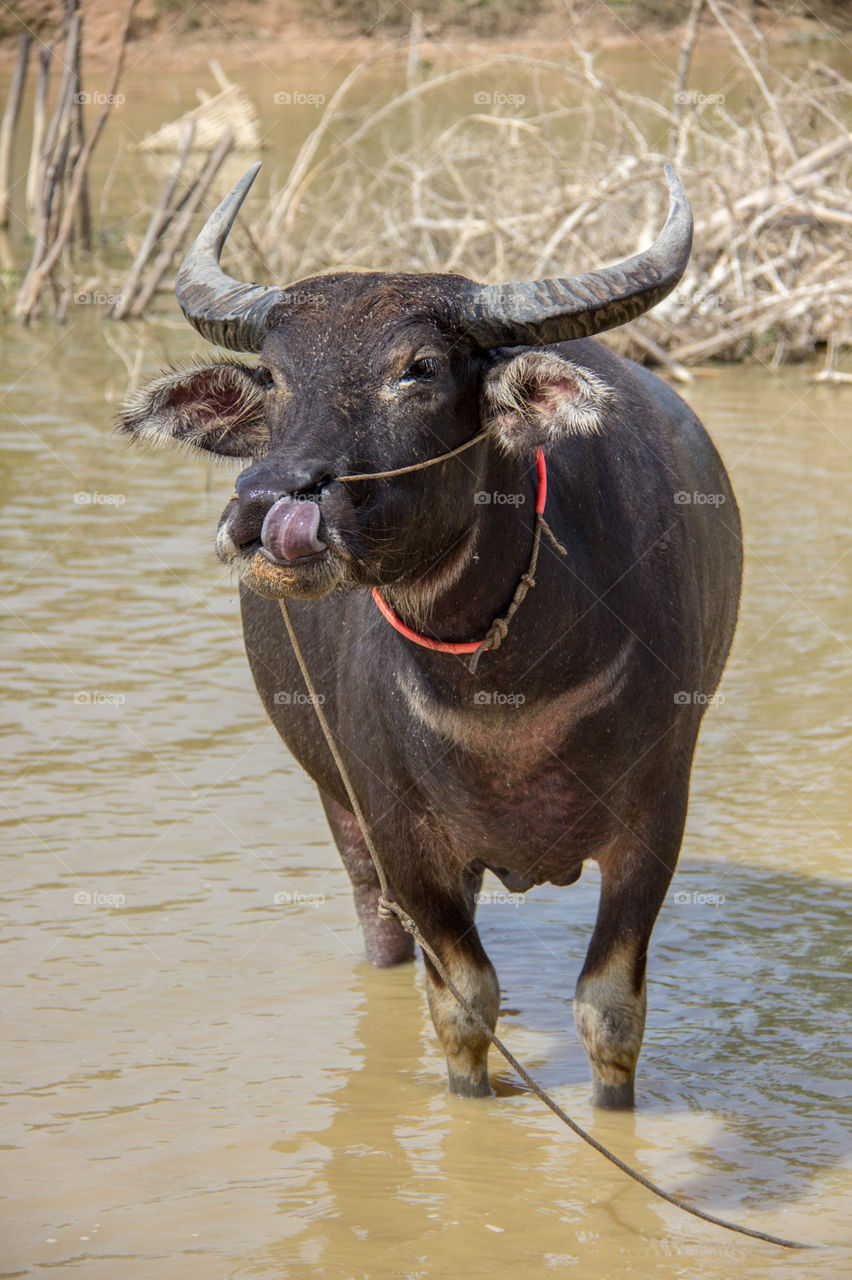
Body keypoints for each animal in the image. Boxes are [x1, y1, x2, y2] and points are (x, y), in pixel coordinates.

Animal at [119, 165, 736, 1111]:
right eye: (277, 376)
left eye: (420, 368)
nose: (264, 506)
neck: (505, 683)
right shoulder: (398, 831)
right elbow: (464, 1004)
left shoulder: (657, 814)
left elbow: (609, 1014)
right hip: (343, 814)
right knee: (386, 940)